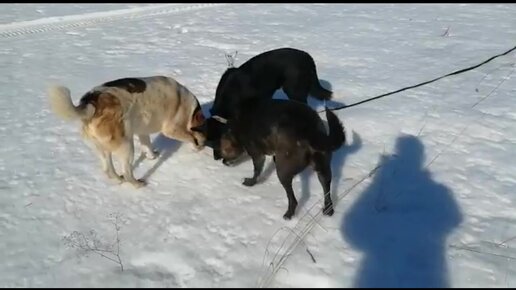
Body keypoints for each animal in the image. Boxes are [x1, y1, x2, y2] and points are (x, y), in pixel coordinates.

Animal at [47, 75, 206, 188]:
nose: (204, 144)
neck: (190, 109)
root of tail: (91, 102)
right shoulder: (172, 129)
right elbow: (191, 137)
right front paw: (196, 147)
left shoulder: (142, 131)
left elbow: (147, 146)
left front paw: (152, 156)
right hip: (126, 145)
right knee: (127, 172)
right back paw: (138, 184)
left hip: (102, 147)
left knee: (109, 170)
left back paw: (119, 179)